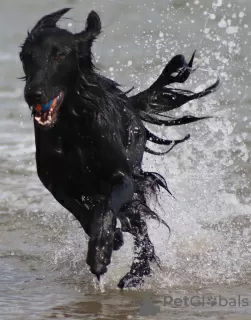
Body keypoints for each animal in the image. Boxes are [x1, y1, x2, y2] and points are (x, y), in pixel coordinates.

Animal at [19, 8, 219, 288]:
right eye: (26, 57)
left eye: (58, 55)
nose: (33, 94)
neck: (72, 126)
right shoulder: (57, 185)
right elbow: (83, 214)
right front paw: (109, 240)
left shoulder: (122, 177)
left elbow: (106, 210)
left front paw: (100, 253)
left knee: (139, 226)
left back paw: (136, 272)